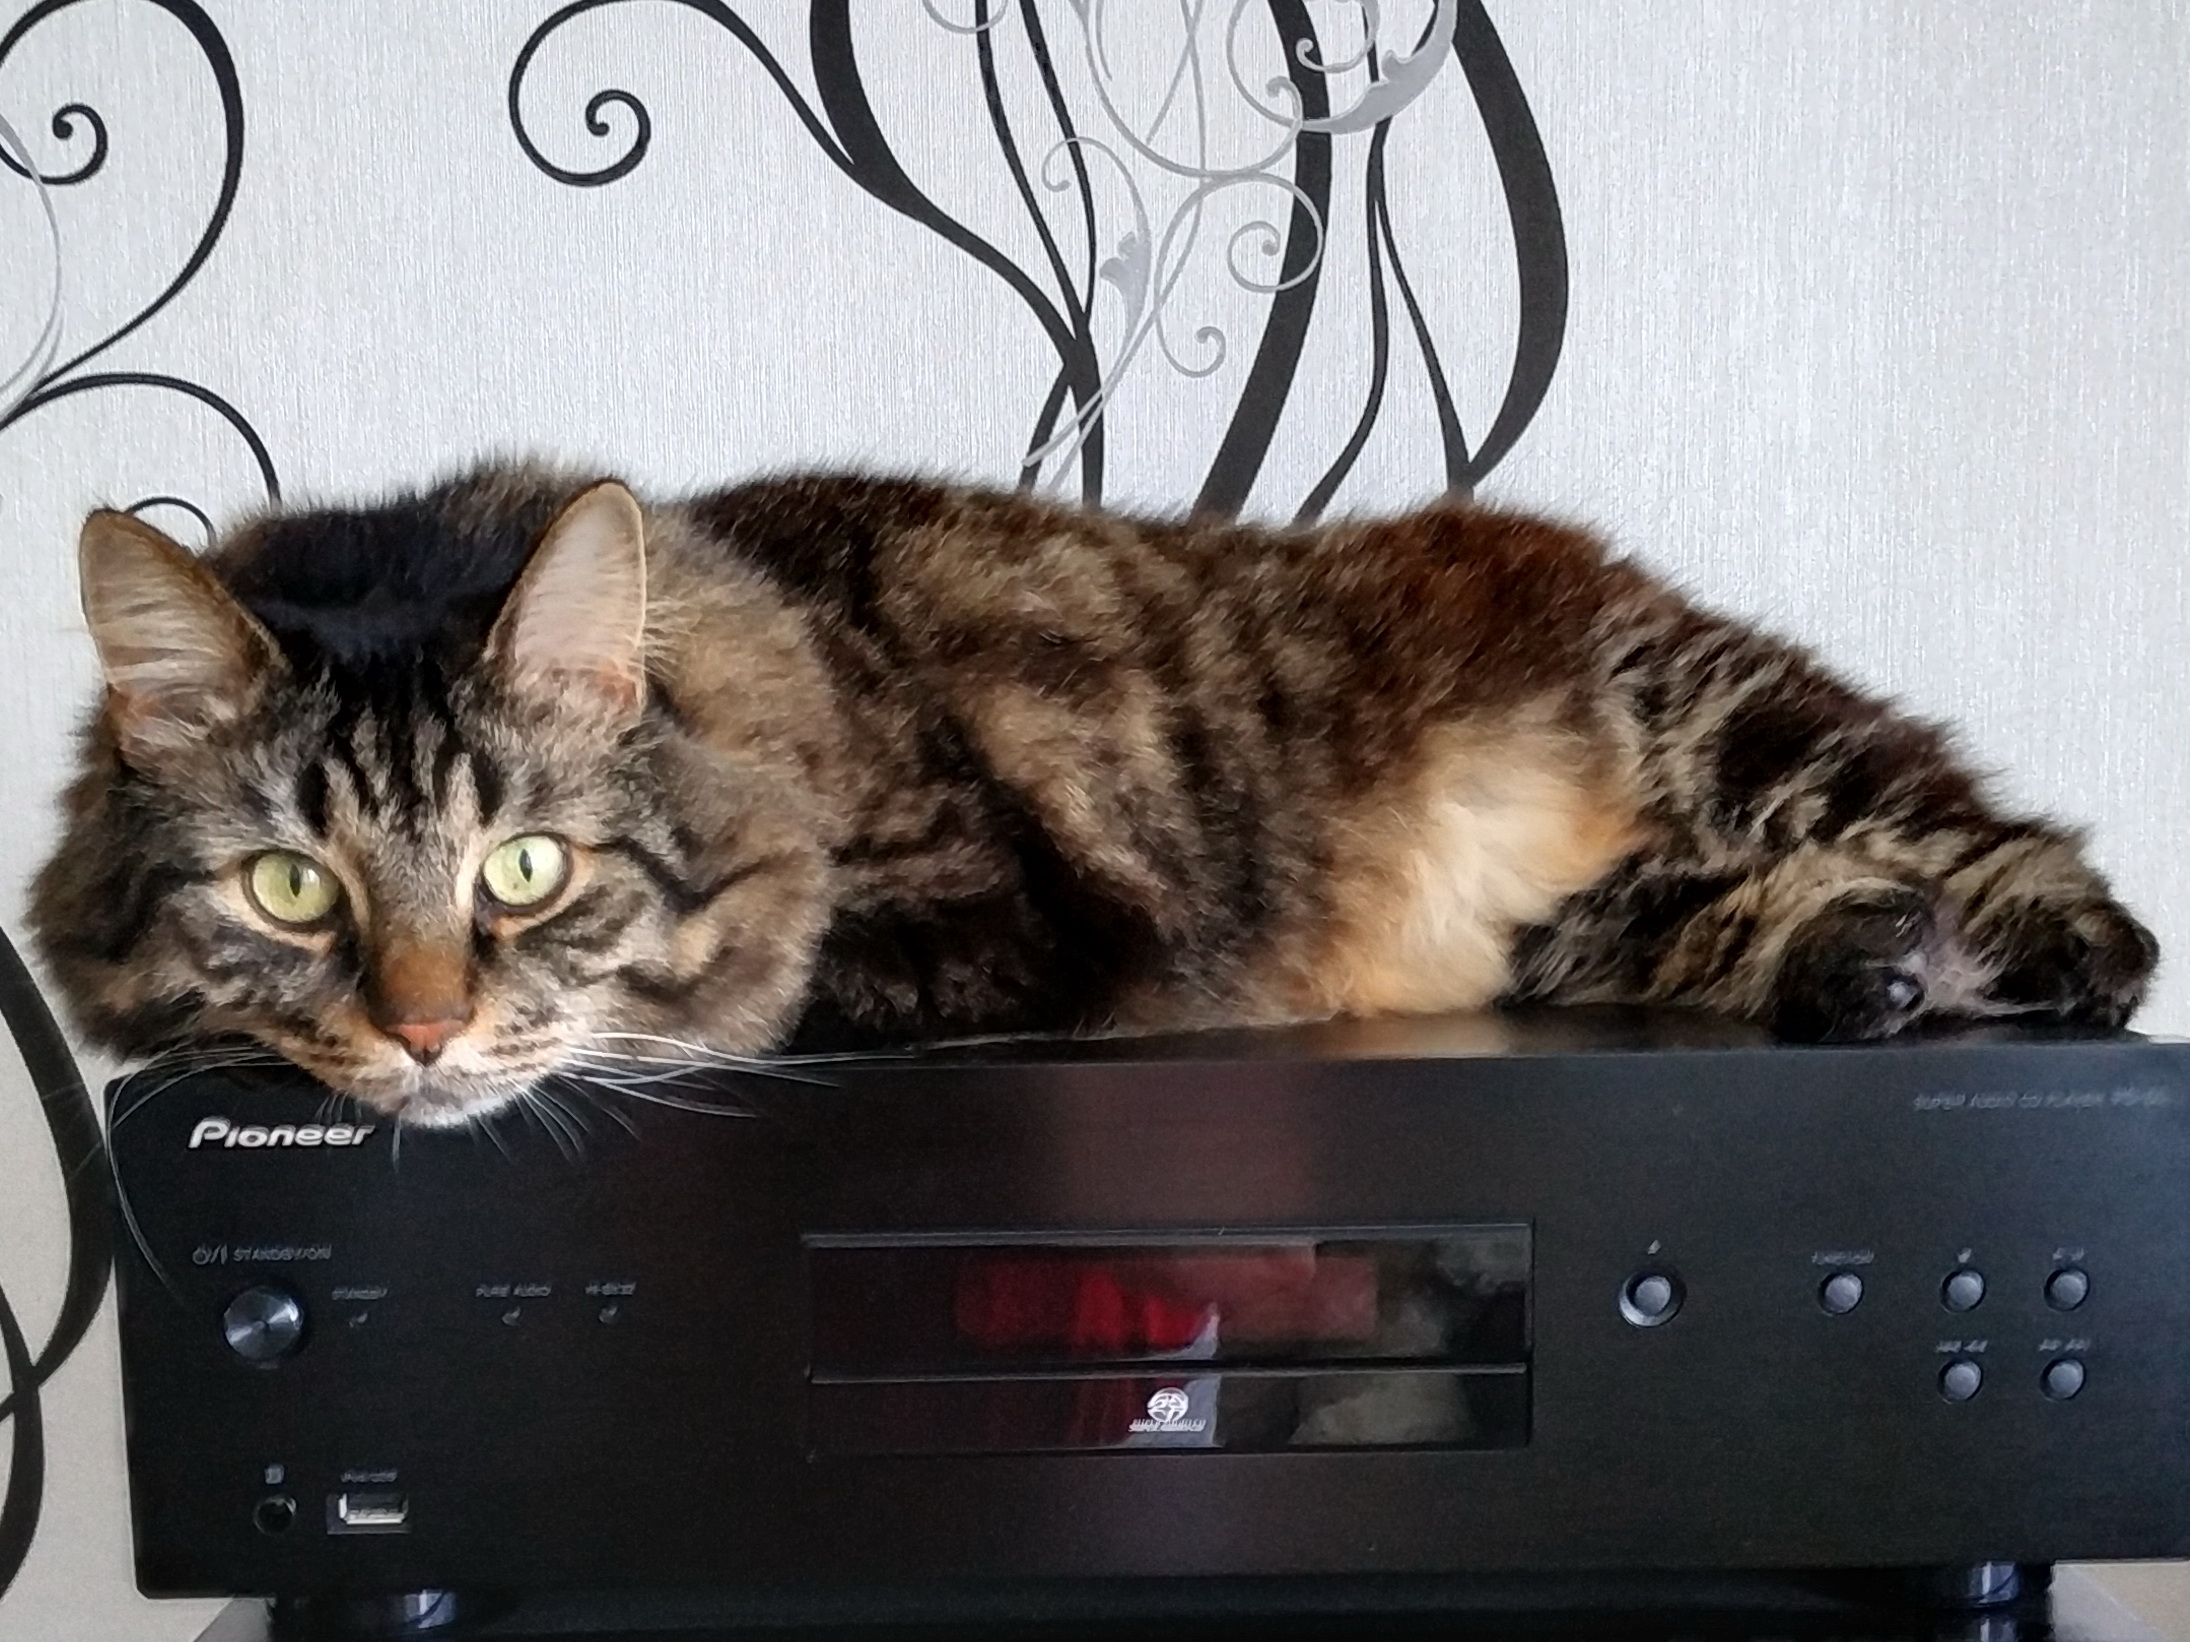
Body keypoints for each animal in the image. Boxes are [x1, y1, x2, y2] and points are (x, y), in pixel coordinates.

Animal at [29, 463, 2158, 1125]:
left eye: (526, 866)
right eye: (294, 887)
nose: (420, 1033)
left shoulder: (989, 916)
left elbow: (741, 992)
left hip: (1718, 719)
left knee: (2027, 854)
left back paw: (2039, 958)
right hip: (1585, 926)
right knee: (1775, 911)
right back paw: (1863, 966)